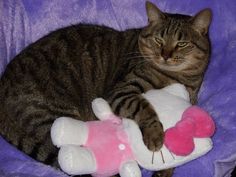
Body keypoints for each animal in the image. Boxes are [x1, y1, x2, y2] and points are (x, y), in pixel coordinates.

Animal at [0, 1, 211, 177]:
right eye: (159, 40)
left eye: (182, 43)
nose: (165, 55)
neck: (177, 77)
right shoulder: (122, 91)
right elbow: (144, 108)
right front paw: (155, 136)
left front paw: (166, 169)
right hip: (52, 117)